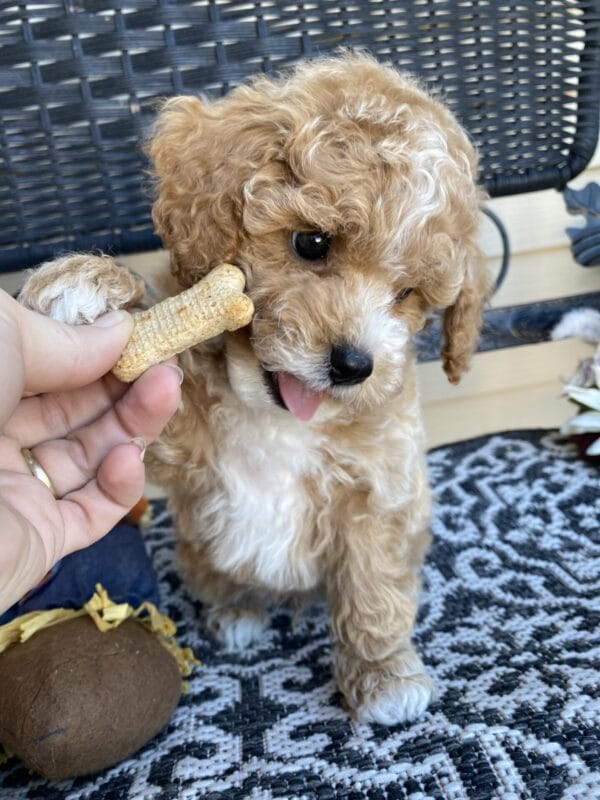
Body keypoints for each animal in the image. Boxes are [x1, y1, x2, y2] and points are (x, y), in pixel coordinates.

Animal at [19, 51, 488, 724]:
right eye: (311, 242)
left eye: (406, 295)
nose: (354, 365)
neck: (283, 421)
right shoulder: (188, 438)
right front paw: (88, 282)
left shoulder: (378, 489)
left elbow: (372, 585)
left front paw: (383, 676)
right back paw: (237, 608)